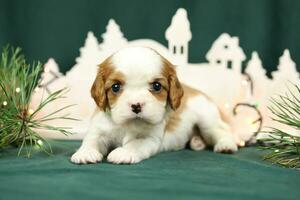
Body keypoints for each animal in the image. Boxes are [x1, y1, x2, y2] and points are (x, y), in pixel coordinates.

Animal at [70, 47, 237, 164]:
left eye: (157, 86)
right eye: (115, 87)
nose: (136, 105)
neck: (127, 125)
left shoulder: (150, 138)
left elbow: (135, 144)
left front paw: (124, 152)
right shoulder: (100, 128)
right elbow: (91, 139)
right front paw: (85, 153)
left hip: (207, 118)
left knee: (220, 130)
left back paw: (226, 144)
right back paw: (197, 142)